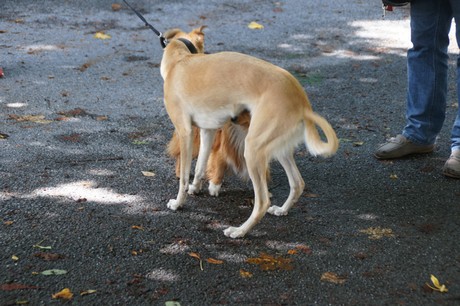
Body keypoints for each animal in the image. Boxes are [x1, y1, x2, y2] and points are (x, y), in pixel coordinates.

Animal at [161, 26, 338, 239]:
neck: (181, 60)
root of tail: (302, 101)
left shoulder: (185, 132)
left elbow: (184, 178)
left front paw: (179, 203)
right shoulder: (207, 131)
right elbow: (200, 166)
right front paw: (196, 187)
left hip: (253, 150)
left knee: (262, 202)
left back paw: (239, 231)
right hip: (277, 148)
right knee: (298, 183)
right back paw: (282, 209)